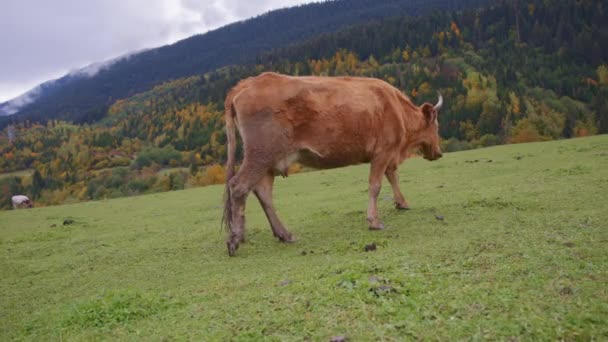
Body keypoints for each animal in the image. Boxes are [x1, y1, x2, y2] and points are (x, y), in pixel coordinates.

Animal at [223, 72, 442, 255]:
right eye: (436, 126)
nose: (439, 152)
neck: (396, 107)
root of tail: (248, 83)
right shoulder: (383, 151)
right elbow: (376, 185)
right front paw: (374, 221)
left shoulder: (388, 154)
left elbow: (392, 176)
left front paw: (401, 203)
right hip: (260, 155)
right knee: (239, 186)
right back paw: (235, 239)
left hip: (268, 162)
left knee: (263, 193)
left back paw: (284, 234)